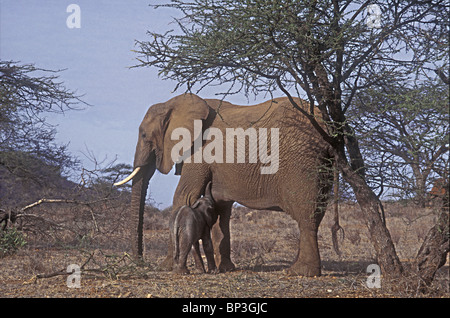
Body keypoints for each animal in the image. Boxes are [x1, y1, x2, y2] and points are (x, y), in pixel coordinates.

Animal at [116, 93, 334, 278]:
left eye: (144, 136)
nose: (139, 261)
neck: (174, 103)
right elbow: (220, 207)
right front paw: (225, 269)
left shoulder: (199, 152)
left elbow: (184, 197)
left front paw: (166, 267)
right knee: (317, 211)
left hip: (301, 160)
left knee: (305, 213)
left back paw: (300, 272)